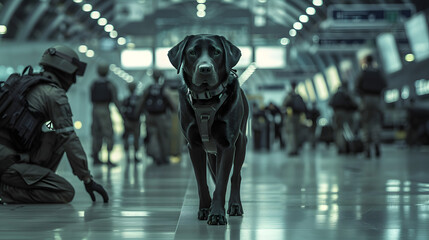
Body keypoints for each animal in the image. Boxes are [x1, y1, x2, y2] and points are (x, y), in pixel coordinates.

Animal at [167, 35, 247, 225]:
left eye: (216, 52)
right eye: (192, 52)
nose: (205, 69)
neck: (206, 99)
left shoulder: (227, 145)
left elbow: (223, 181)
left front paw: (217, 213)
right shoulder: (194, 146)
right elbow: (202, 182)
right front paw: (205, 209)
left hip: (241, 143)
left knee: (235, 176)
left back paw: (234, 205)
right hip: (211, 153)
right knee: (215, 175)